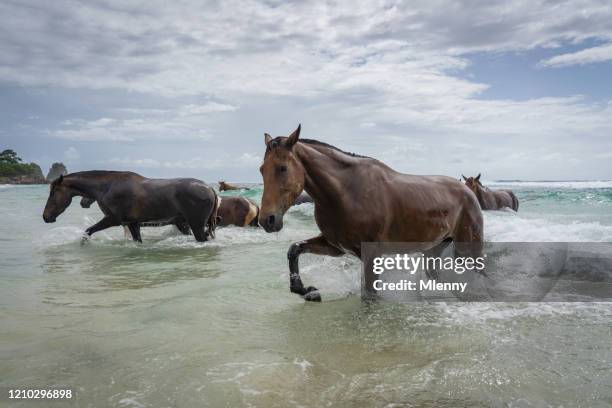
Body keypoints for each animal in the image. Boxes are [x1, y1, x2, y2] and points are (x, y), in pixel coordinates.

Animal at [41, 170, 218, 242]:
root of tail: (210, 188)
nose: (46, 216)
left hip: (195, 225)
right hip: (184, 224)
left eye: (53, 192)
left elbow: (88, 231)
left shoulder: (112, 220)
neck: (106, 187)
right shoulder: (132, 223)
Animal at [256, 126, 482, 302]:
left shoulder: (372, 254)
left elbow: (370, 294)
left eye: (282, 168)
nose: (267, 220)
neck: (347, 193)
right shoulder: (335, 246)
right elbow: (294, 249)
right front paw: (306, 290)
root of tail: (468, 191)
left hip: (467, 250)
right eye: (261, 169)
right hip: (434, 249)